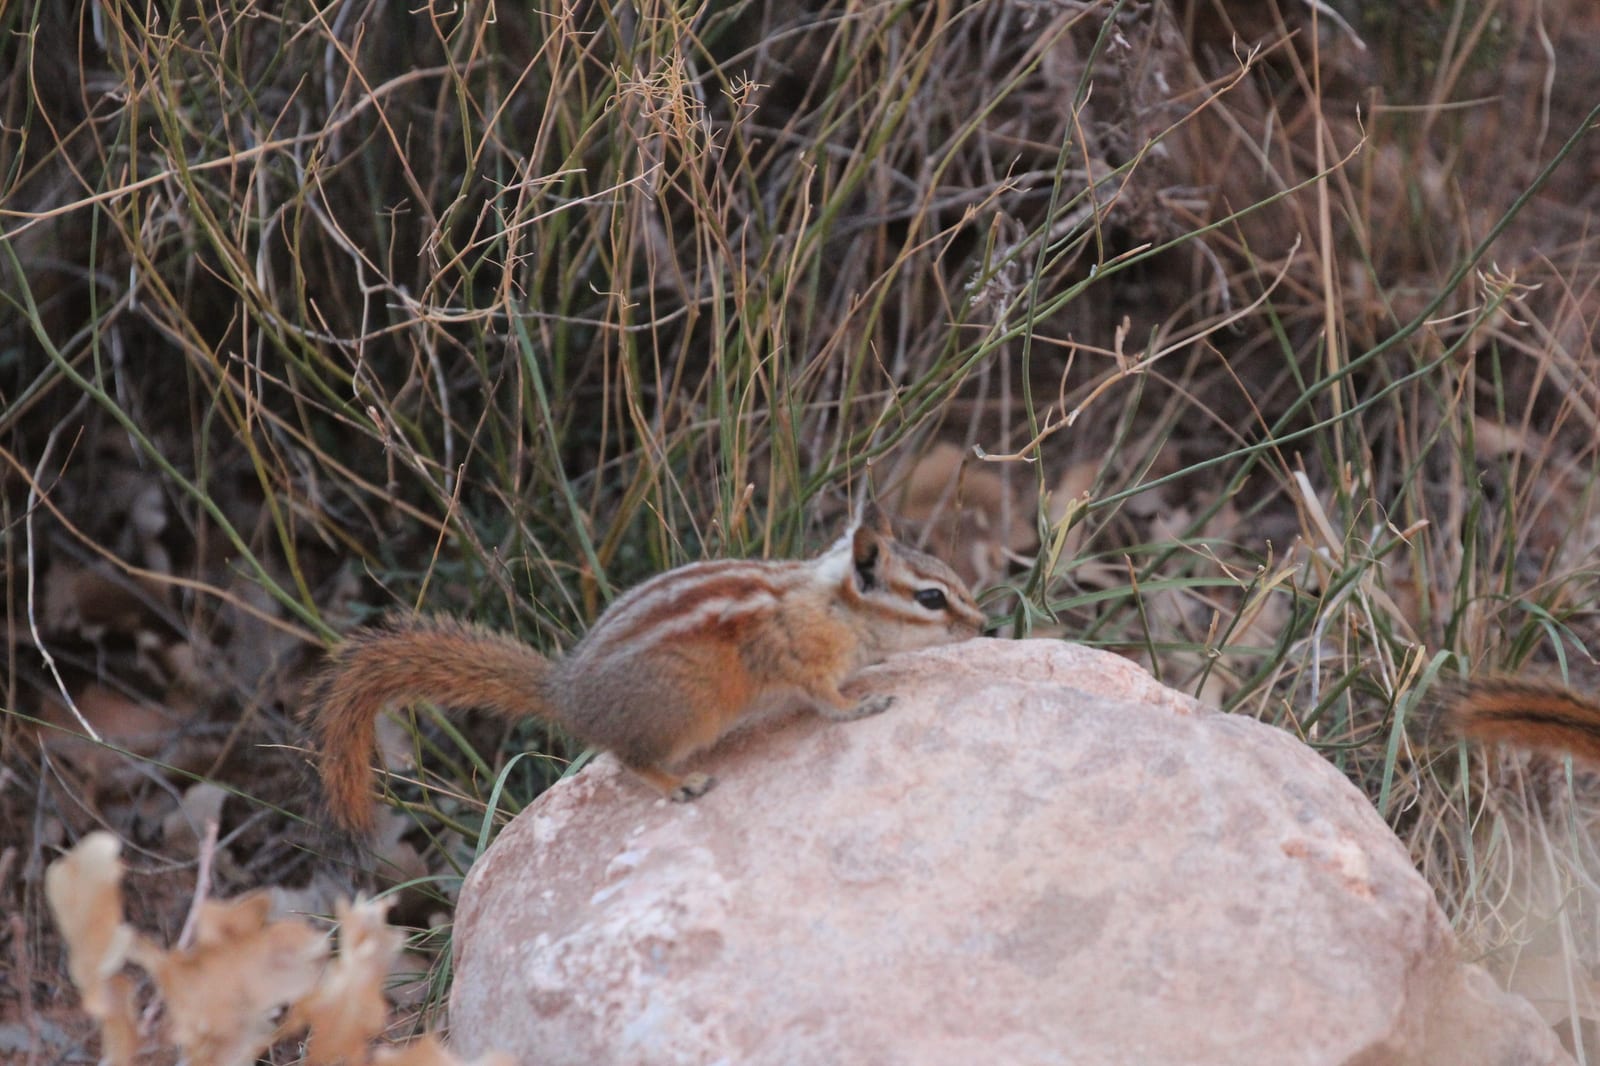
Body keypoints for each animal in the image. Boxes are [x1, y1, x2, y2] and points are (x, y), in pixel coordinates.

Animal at [305, 517, 986, 832]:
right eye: (931, 598)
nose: (983, 623)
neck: (834, 604)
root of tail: (568, 695)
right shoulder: (797, 658)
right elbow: (824, 699)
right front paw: (859, 705)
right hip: (687, 713)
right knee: (627, 759)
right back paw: (678, 784)